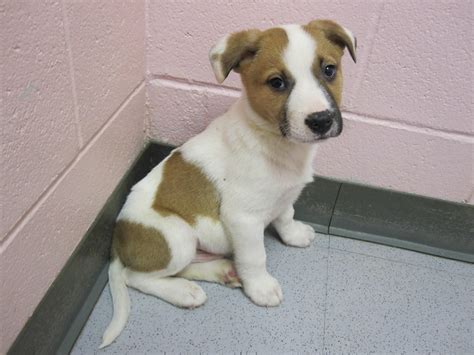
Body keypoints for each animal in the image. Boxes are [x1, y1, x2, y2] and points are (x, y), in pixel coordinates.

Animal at [102, 18, 358, 348]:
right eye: (277, 82)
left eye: (329, 70)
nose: (321, 121)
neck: (275, 142)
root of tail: (119, 240)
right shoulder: (243, 218)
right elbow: (255, 256)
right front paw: (261, 288)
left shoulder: (285, 196)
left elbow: (286, 216)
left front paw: (294, 235)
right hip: (177, 237)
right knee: (136, 277)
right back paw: (183, 292)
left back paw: (221, 271)